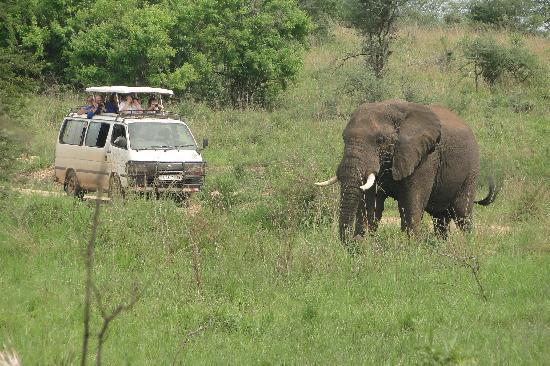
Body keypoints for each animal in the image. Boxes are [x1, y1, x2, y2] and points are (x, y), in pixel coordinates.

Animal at [314, 101, 500, 246]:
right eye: (344, 139)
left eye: (380, 140)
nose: (352, 242)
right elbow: (371, 202)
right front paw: (364, 244)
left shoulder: (426, 157)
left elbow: (412, 202)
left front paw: (410, 250)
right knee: (440, 218)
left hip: (471, 169)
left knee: (463, 213)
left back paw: (468, 245)